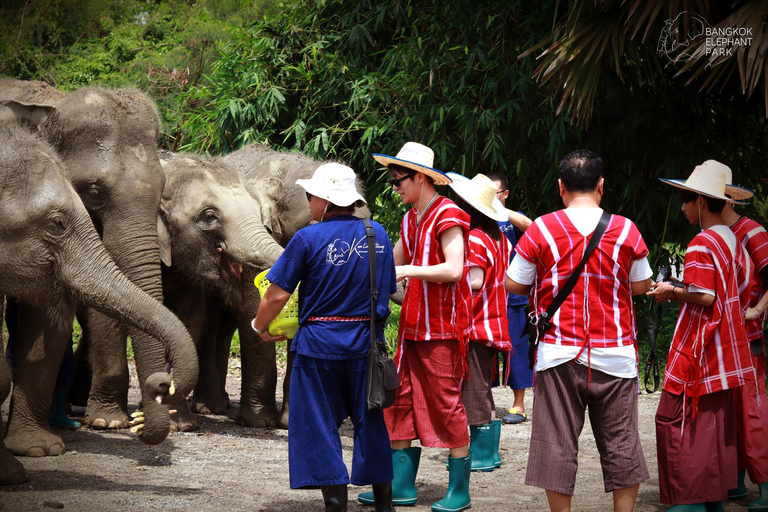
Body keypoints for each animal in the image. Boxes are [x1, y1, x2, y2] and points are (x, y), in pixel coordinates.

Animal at [0, 80, 196, 432]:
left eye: (163, 189)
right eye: (94, 192)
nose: (162, 384)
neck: (51, 102)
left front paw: (109, 420)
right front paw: (108, 422)